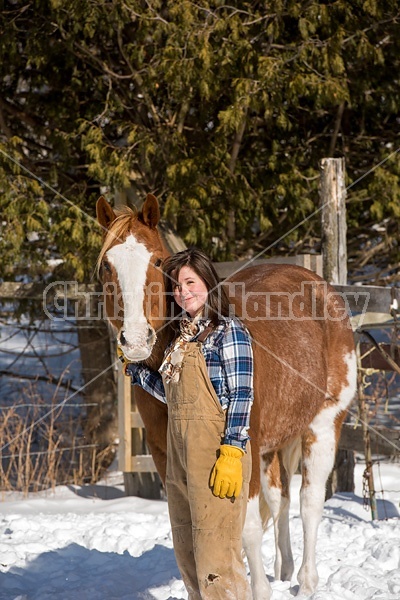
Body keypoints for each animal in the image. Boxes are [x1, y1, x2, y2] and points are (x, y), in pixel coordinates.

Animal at [96, 195, 356, 596]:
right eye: (108, 266)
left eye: (157, 261)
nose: (136, 340)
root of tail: (319, 286)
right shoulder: (165, 456)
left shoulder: (238, 450)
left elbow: (245, 527)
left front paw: (260, 591)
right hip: (273, 445)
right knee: (280, 499)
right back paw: (285, 568)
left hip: (324, 424)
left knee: (309, 502)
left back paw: (307, 582)